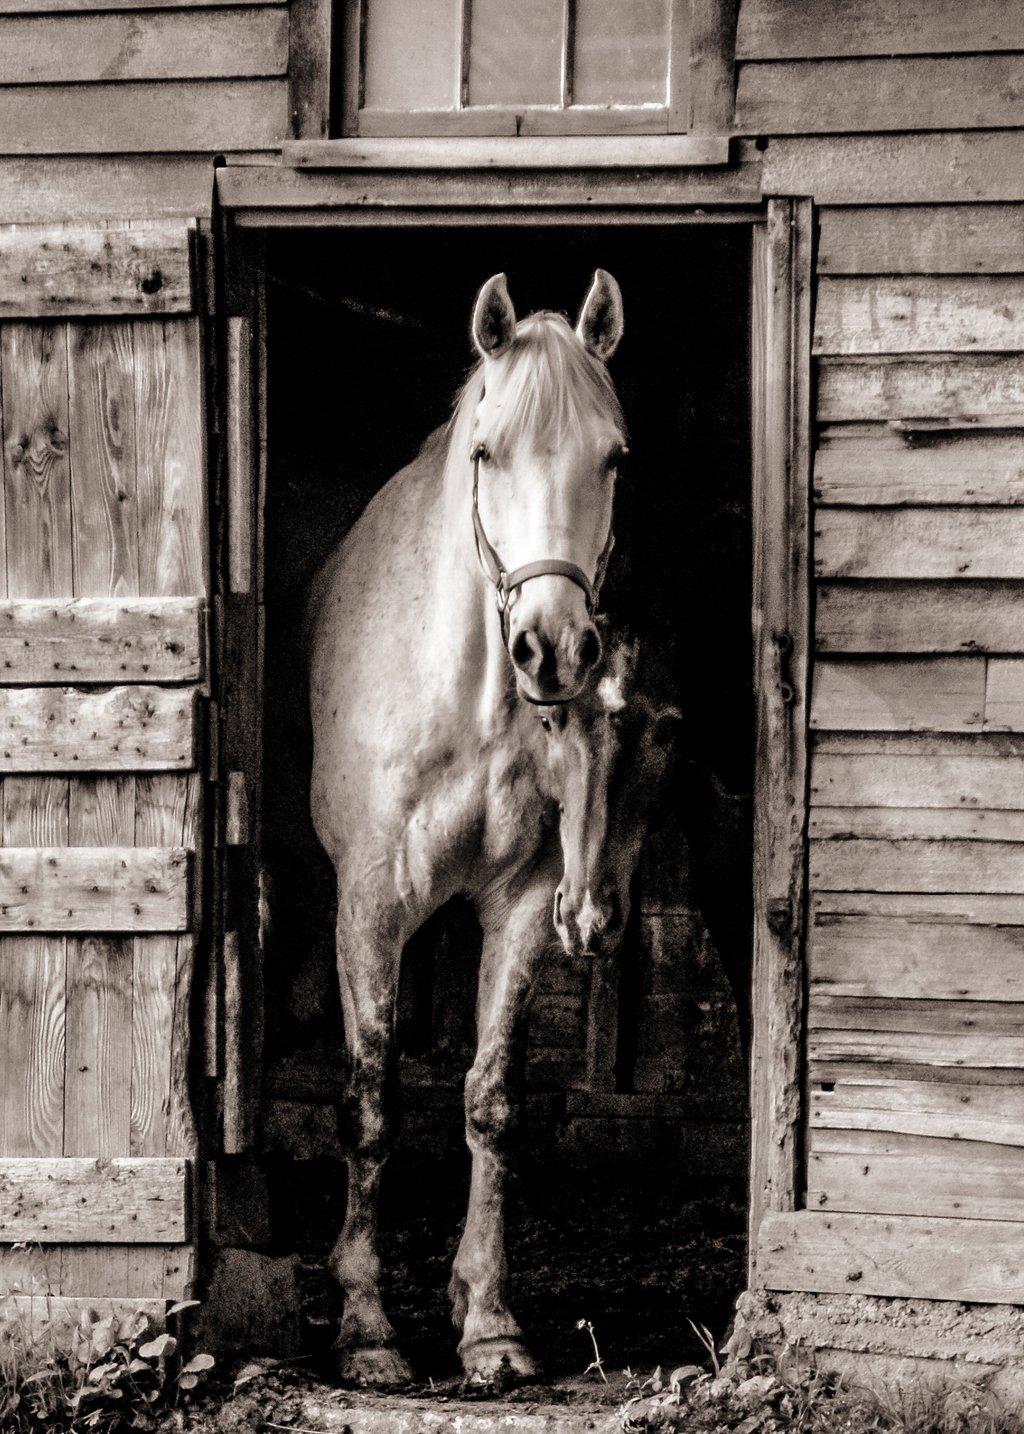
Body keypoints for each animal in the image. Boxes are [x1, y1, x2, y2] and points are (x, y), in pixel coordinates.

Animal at [307, 271, 629, 1385]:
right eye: (488, 452)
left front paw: (487, 1321)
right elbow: (370, 1100)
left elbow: (490, 1103)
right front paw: (366, 1327)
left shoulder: (523, 905)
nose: (554, 648)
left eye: (612, 456)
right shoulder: (367, 904)